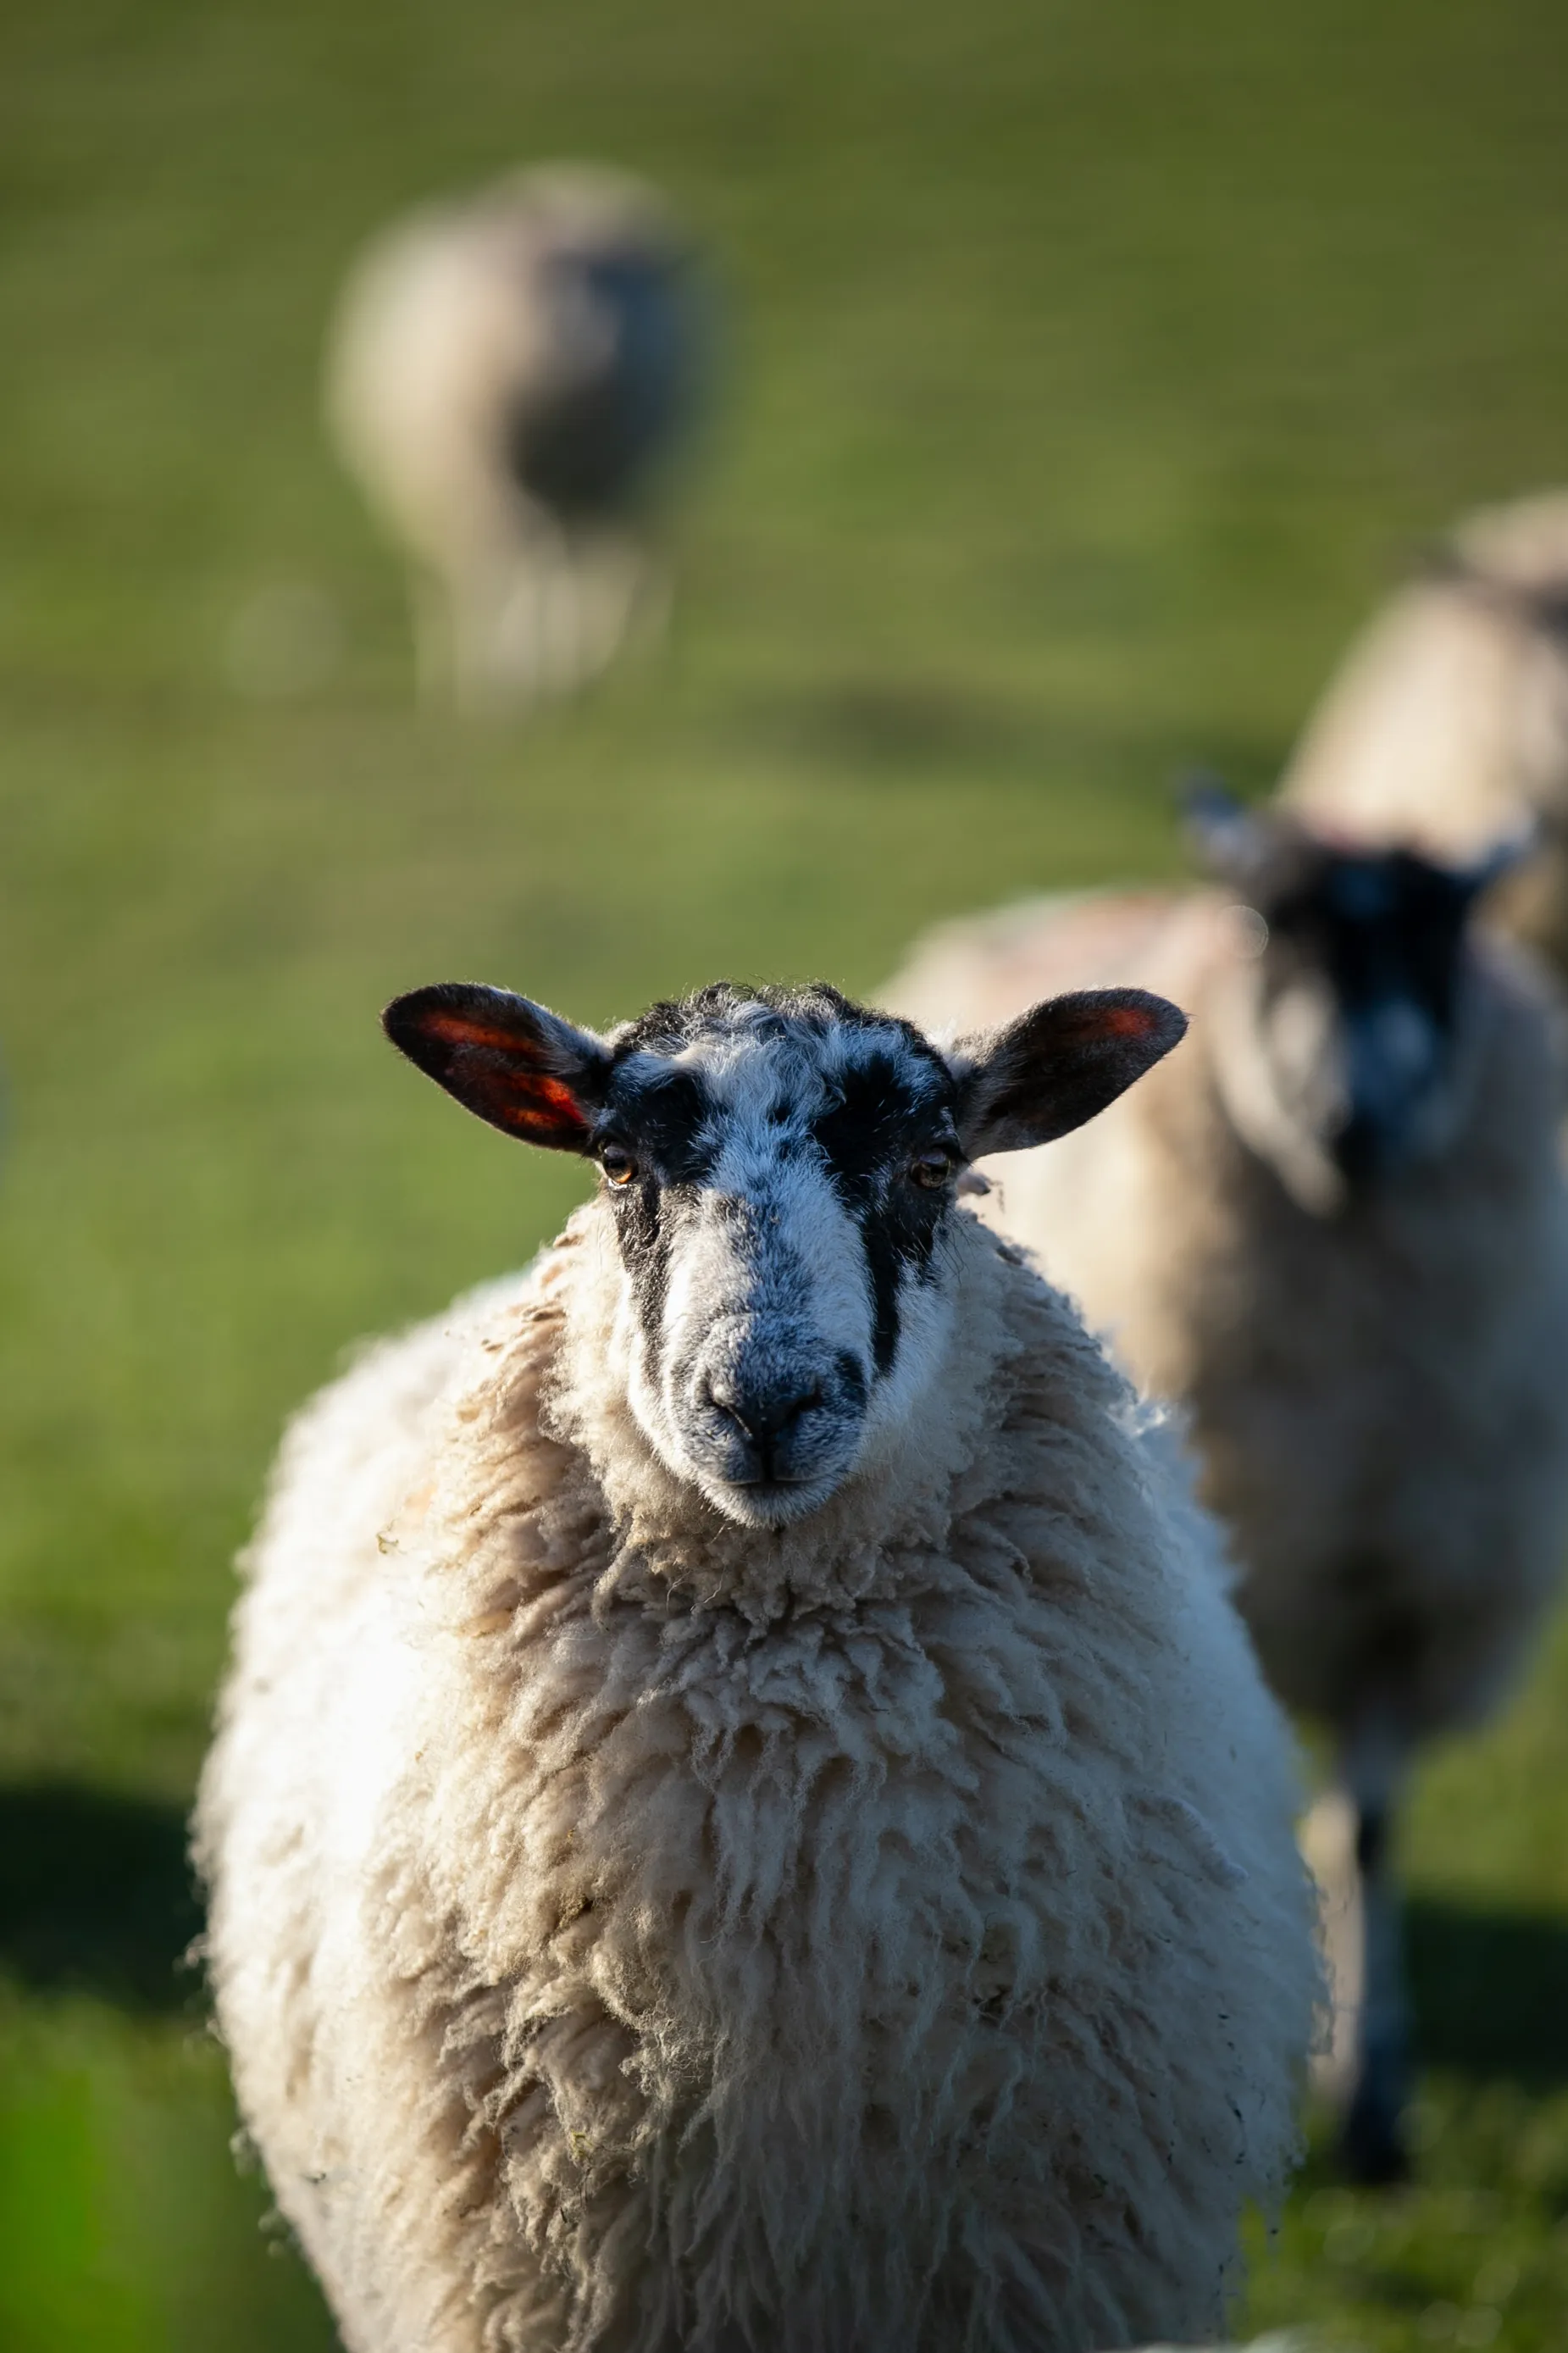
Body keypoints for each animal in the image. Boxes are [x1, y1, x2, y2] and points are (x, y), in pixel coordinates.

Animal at [886, 798, 1568, 2183]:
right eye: (1269, 931)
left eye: (1445, 941)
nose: (1351, 1120)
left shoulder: (1400, 1595)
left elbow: (1368, 1828)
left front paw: (1375, 2105)